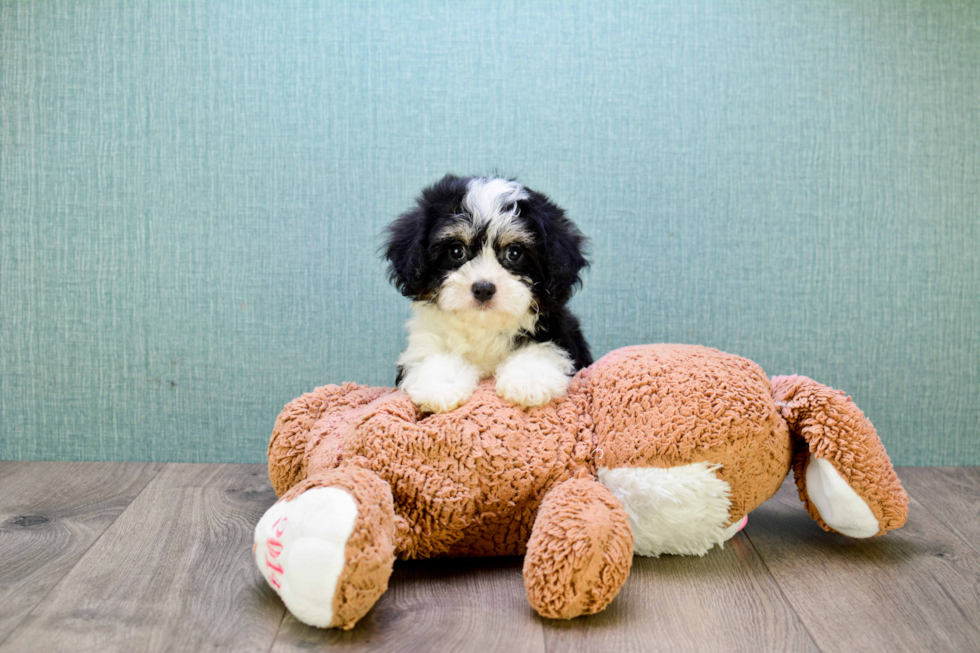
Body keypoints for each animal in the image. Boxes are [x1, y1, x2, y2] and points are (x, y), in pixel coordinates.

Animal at [382, 173, 588, 412]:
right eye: (456, 250)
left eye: (514, 253)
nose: (483, 289)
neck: (483, 327)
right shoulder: (424, 340)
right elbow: (431, 357)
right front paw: (441, 386)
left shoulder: (556, 331)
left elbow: (543, 351)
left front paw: (528, 381)